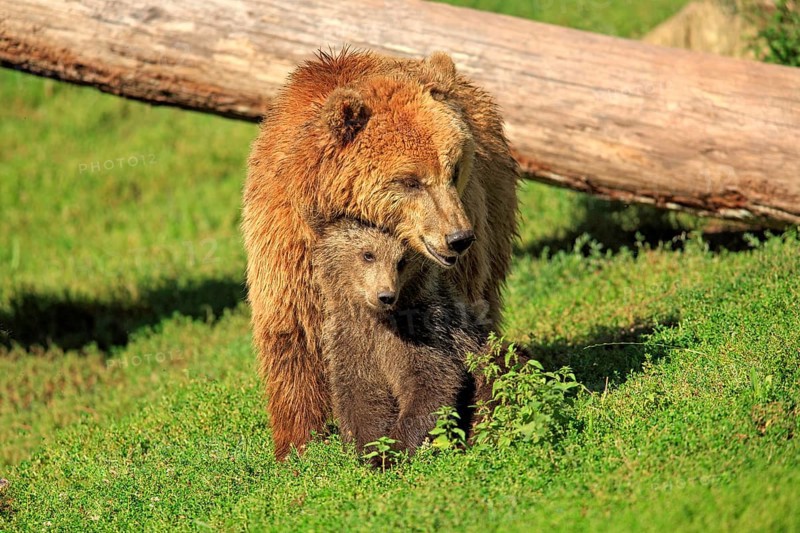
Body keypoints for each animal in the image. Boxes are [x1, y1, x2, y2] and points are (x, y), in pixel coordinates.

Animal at [311, 218, 485, 458]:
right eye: (368, 254)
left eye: (402, 260)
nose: (386, 296)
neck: (378, 320)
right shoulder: (351, 341)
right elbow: (360, 396)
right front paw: (368, 449)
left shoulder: (424, 334)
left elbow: (432, 383)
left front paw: (394, 448)